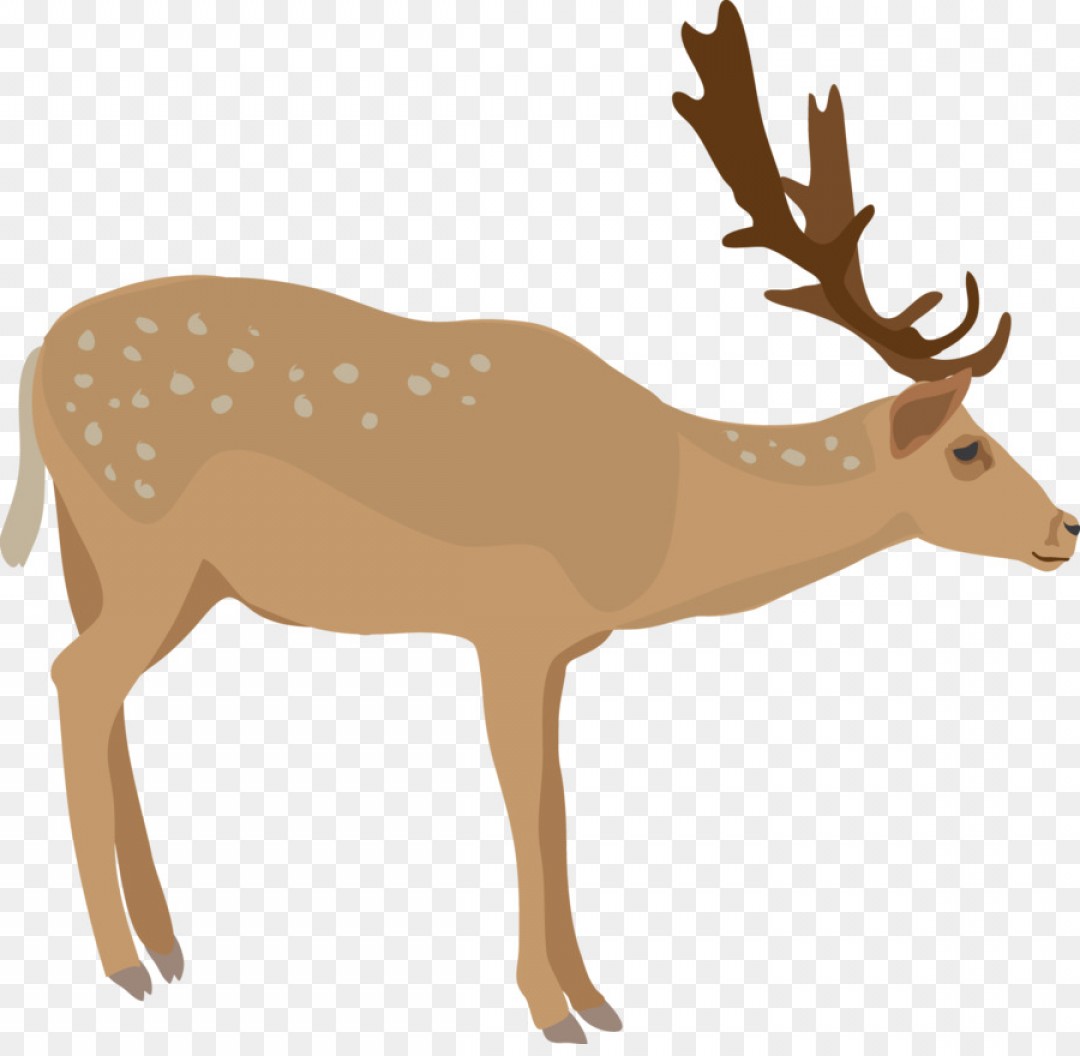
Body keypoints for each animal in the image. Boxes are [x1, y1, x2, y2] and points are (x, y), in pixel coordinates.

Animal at [0, 1, 1073, 1044]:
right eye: (968, 447)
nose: (1066, 526)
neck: (664, 517)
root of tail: (37, 360)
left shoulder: (557, 644)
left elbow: (554, 797)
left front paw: (593, 998)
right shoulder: (512, 624)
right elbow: (534, 800)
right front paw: (557, 1008)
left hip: (136, 566)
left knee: (99, 687)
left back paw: (168, 946)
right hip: (145, 537)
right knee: (77, 679)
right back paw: (125, 964)